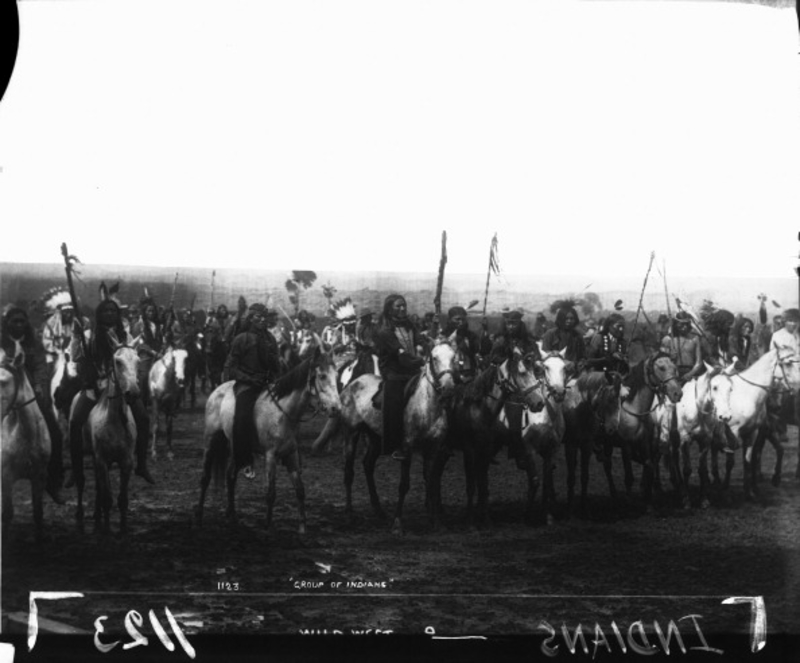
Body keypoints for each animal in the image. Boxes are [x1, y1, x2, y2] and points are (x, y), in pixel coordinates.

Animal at [76, 338, 141, 536]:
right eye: (118, 361)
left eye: (138, 361)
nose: (133, 393)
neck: (114, 420)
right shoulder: (102, 460)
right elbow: (108, 499)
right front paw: (106, 530)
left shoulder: (126, 462)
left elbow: (122, 499)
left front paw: (123, 529)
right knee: (81, 482)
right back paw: (80, 514)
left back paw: (96, 514)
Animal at [198, 348, 342, 536]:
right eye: (322, 376)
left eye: (336, 374)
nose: (336, 408)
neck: (283, 412)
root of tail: (216, 392)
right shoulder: (270, 456)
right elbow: (271, 493)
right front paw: (267, 526)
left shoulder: (291, 455)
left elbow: (300, 490)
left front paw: (302, 527)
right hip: (211, 441)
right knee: (206, 478)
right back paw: (198, 517)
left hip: (237, 447)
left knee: (230, 476)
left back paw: (232, 517)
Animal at [318, 334, 456, 532]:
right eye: (434, 358)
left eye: (454, 357)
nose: (449, 388)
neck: (427, 407)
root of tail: (351, 385)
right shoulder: (407, 447)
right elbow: (404, 484)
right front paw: (398, 523)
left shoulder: (433, 448)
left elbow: (431, 481)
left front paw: (435, 521)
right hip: (351, 434)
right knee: (349, 472)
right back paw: (349, 513)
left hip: (375, 438)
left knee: (368, 465)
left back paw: (378, 510)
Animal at [708, 350, 800, 500]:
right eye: (788, 363)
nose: (797, 388)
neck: (749, 395)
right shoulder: (733, 432)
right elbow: (730, 462)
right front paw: (726, 486)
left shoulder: (753, 432)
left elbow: (748, 460)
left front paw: (748, 491)